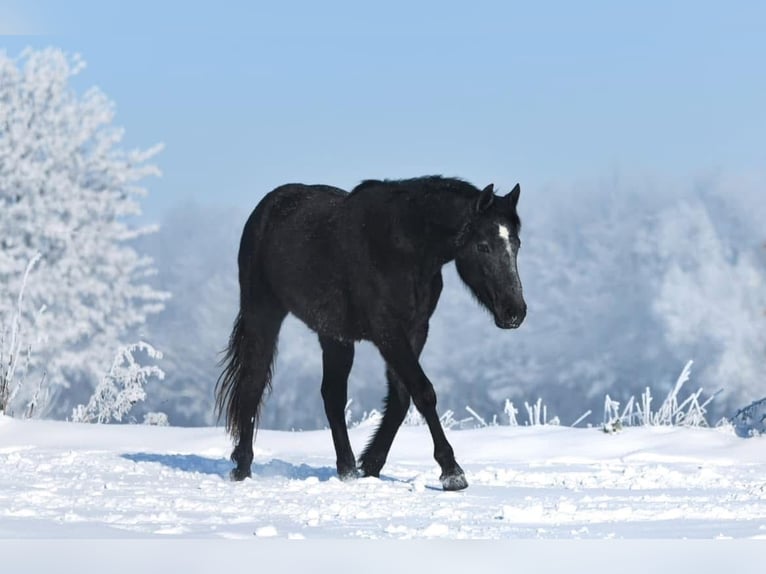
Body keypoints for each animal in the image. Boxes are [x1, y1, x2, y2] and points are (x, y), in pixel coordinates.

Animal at [216, 176, 528, 490]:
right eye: (483, 246)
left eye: (516, 244)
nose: (515, 312)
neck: (405, 246)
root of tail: (267, 209)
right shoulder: (387, 331)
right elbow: (423, 392)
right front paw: (452, 472)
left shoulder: (415, 330)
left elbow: (402, 396)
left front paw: (371, 465)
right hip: (263, 315)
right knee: (253, 383)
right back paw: (242, 468)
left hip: (334, 338)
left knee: (332, 396)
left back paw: (347, 469)